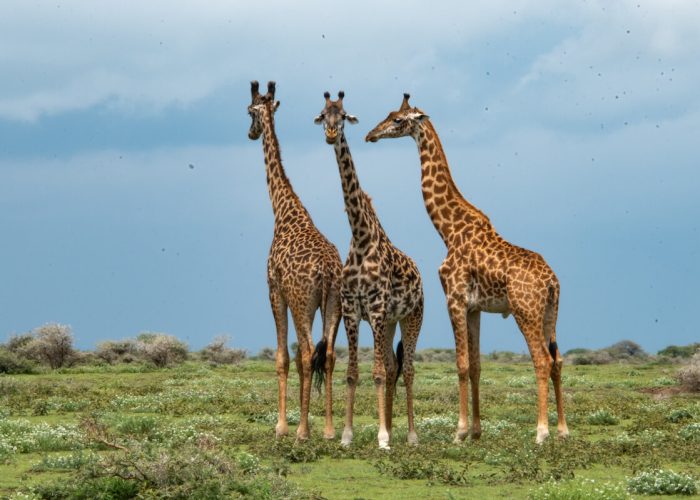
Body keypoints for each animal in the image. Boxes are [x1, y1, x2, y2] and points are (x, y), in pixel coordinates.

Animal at [247, 80, 343, 440]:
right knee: (327, 355)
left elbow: (282, 358)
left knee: (305, 354)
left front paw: (282, 426)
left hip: (303, 303)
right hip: (333, 305)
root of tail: (329, 271)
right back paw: (328, 430)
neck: (283, 210)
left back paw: (303, 431)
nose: (250, 132)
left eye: (249, 111)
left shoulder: (275, 290)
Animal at [314, 91, 424, 449]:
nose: (331, 134)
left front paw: (383, 437)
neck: (361, 238)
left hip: (411, 317)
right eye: (323, 114)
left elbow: (375, 373)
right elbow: (353, 374)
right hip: (389, 323)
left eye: (345, 116)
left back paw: (410, 435)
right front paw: (348, 435)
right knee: (391, 366)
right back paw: (390, 425)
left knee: (408, 369)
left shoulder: (375, 309)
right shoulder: (352, 310)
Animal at [365, 94, 569, 444]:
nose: (371, 134)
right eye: (389, 114)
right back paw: (563, 429)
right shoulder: (474, 308)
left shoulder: (455, 299)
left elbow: (460, 363)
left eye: (398, 120)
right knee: (557, 360)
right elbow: (475, 365)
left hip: (525, 311)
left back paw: (541, 431)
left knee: (541, 360)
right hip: (549, 314)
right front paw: (475, 430)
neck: (447, 230)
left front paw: (458, 432)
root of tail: (552, 282)